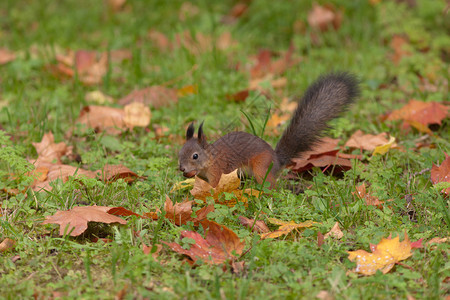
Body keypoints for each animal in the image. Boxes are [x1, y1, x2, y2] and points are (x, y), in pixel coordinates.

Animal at [178, 72, 360, 188]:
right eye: (179, 153)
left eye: (195, 156)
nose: (182, 168)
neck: (210, 159)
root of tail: (277, 161)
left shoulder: (218, 171)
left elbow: (215, 187)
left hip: (260, 167)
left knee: (271, 187)